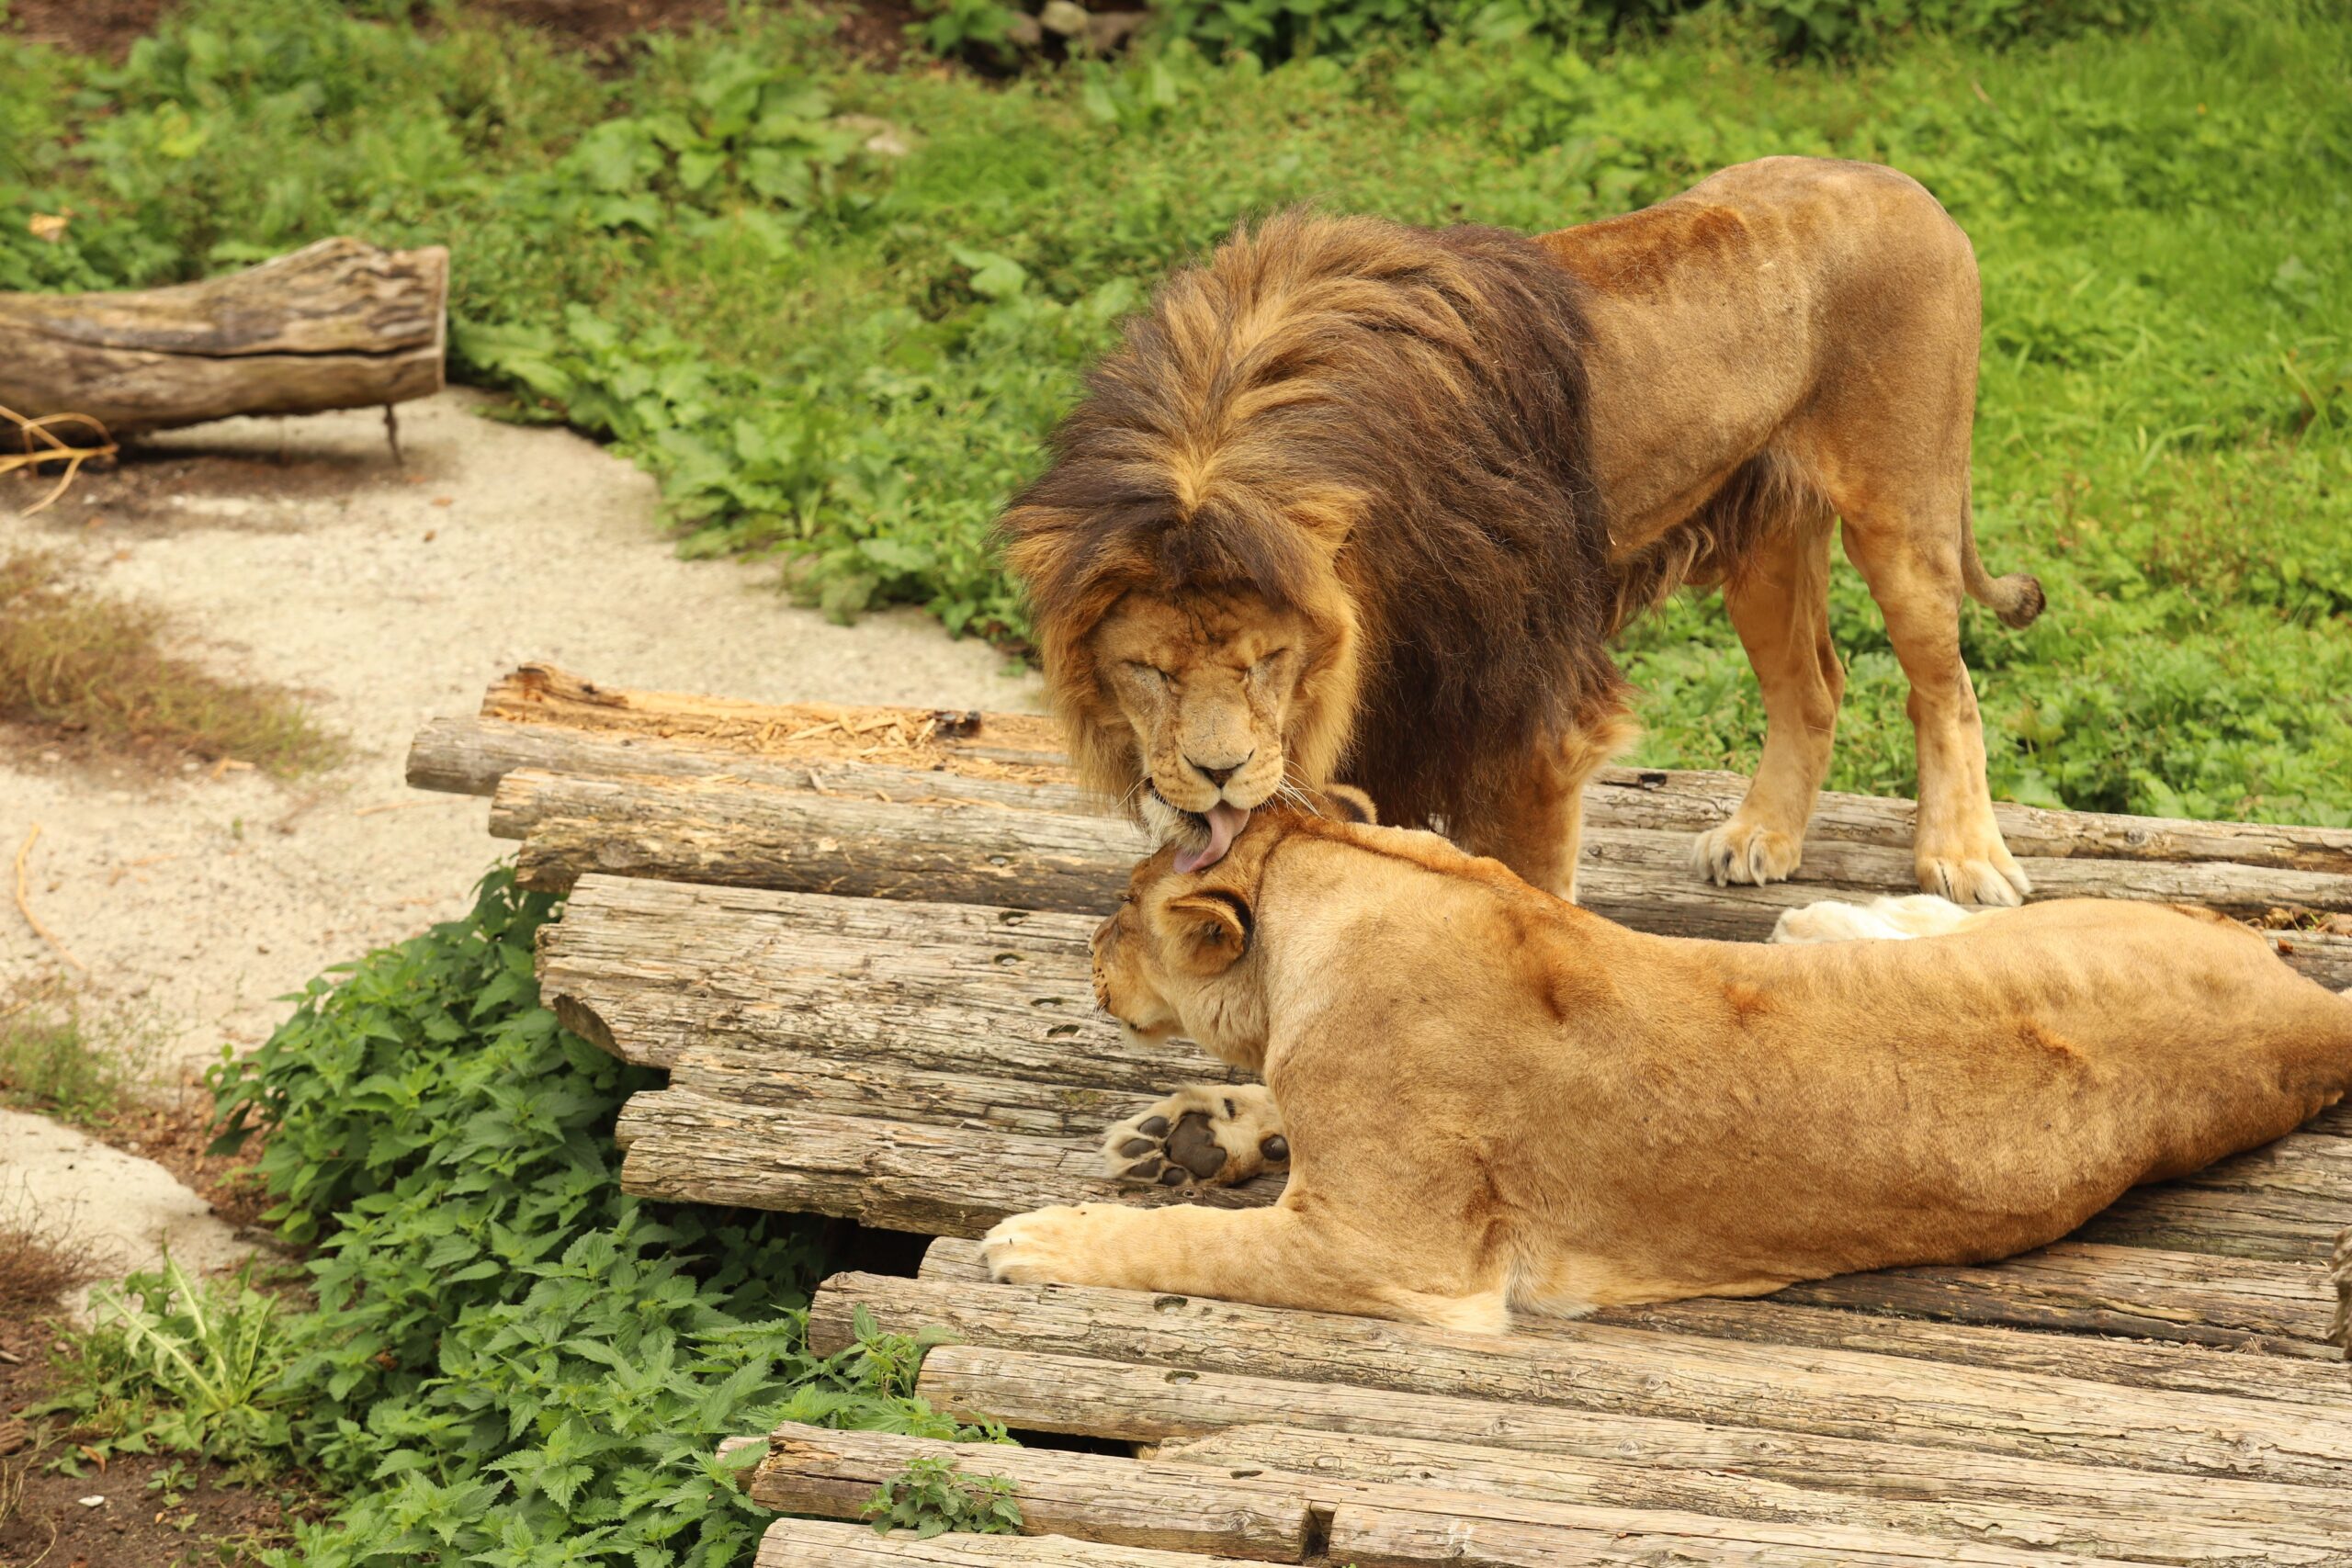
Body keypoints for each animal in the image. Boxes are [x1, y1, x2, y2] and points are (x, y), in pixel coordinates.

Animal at [980, 806, 2352, 1329]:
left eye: (1121, 909)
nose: (1087, 946)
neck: (1344, 870)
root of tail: (2307, 1015)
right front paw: (1192, 1132)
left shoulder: (1393, 1255)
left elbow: (1189, 1247)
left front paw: (1040, 1237)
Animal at [1000, 156, 2045, 906]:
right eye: (1148, 670)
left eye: (1267, 661)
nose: (1215, 777)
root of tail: (1910, 186)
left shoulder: (1533, 718)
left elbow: (1525, 889)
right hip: (1763, 538)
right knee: (1813, 686)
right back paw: (1763, 838)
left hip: (1903, 511)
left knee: (1944, 688)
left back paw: (1963, 857)